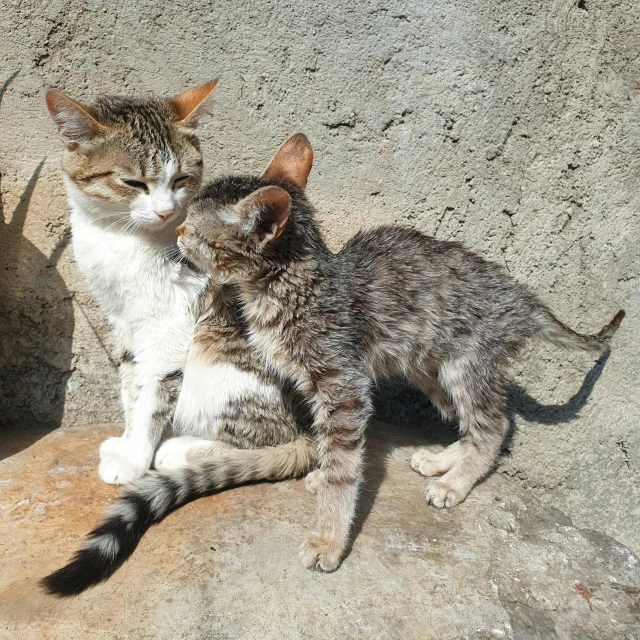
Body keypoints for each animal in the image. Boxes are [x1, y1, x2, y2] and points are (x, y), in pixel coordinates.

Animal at [175, 132, 624, 572]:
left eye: (195, 231)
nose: (177, 230)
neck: (291, 289)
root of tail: (523, 297)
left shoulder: (344, 388)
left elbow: (344, 467)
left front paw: (329, 539)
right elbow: (328, 449)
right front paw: (322, 473)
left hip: (466, 365)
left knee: (495, 425)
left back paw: (454, 482)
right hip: (427, 369)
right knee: (477, 420)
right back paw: (444, 460)